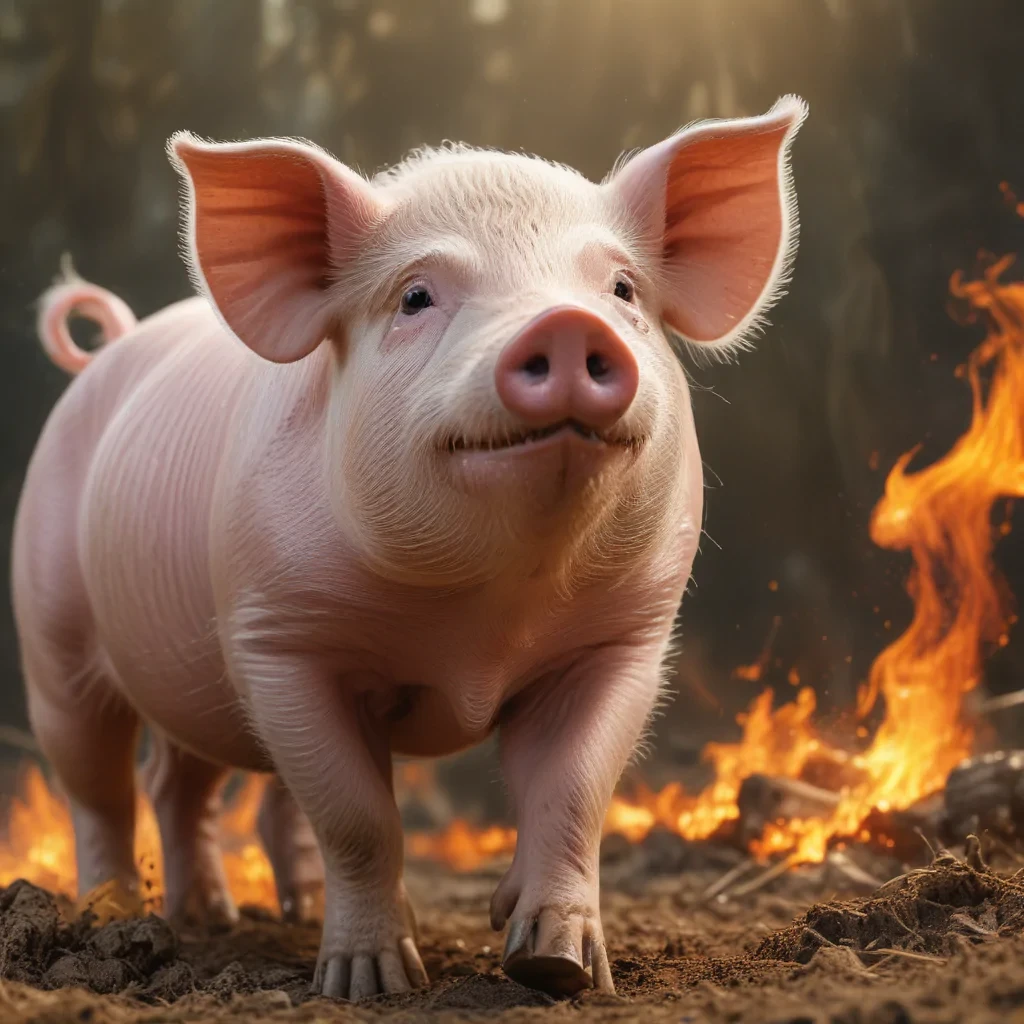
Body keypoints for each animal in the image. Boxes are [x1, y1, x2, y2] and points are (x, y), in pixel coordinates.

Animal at [12, 95, 807, 1000]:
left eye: (621, 288)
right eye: (416, 295)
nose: (567, 325)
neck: (486, 623)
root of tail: (114, 345)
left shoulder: (625, 640)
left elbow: (571, 793)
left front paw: (562, 967)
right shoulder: (278, 641)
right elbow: (360, 817)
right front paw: (370, 984)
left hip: (190, 676)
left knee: (187, 784)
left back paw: (227, 916)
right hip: (53, 634)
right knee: (102, 783)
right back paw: (114, 918)